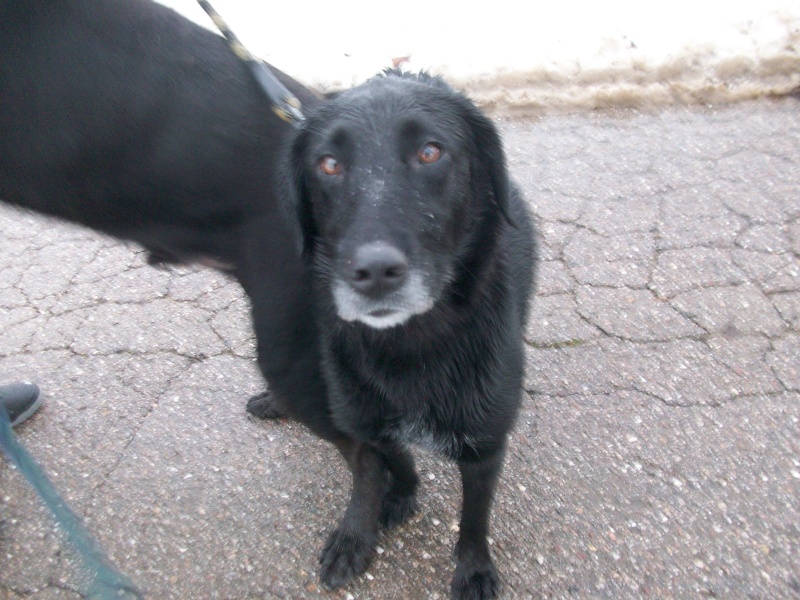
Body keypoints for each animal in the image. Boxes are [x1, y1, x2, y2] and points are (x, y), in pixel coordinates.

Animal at [280, 71, 536, 600]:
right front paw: (383, 509)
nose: (375, 271)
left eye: (430, 152)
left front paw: (474, 571)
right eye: (329, 163)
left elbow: (474, 519)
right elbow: (384, 465)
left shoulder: (485, 445)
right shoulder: (365, 421)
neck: (409, 346)